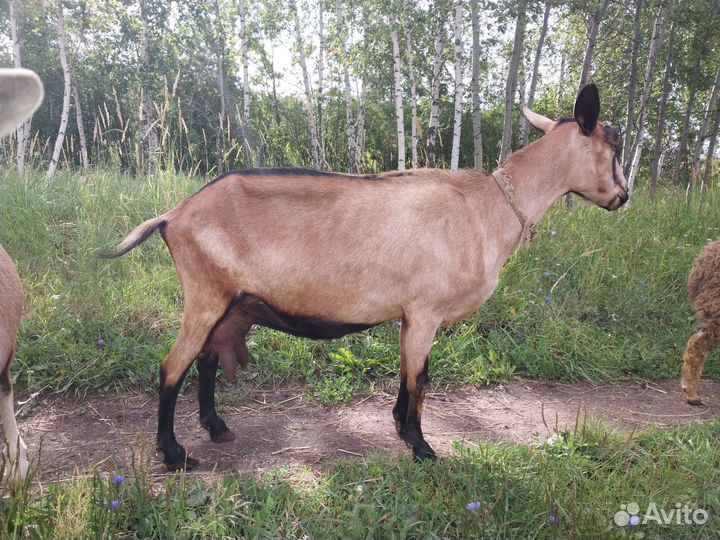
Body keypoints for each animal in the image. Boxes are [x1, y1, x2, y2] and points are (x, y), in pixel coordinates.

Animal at [107, 84, 628, 469]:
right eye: (614, 143)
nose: (622, 196)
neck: (487, 207)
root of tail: (173, 215)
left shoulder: (409, 316)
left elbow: (408, 374)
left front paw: (400, 427)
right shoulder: (425, 310)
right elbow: (420, 377)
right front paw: (421, 447)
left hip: (232, 303)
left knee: (208, 361)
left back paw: (217, 429)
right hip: (204, 295)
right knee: (171, 368)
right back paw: (174, 455)